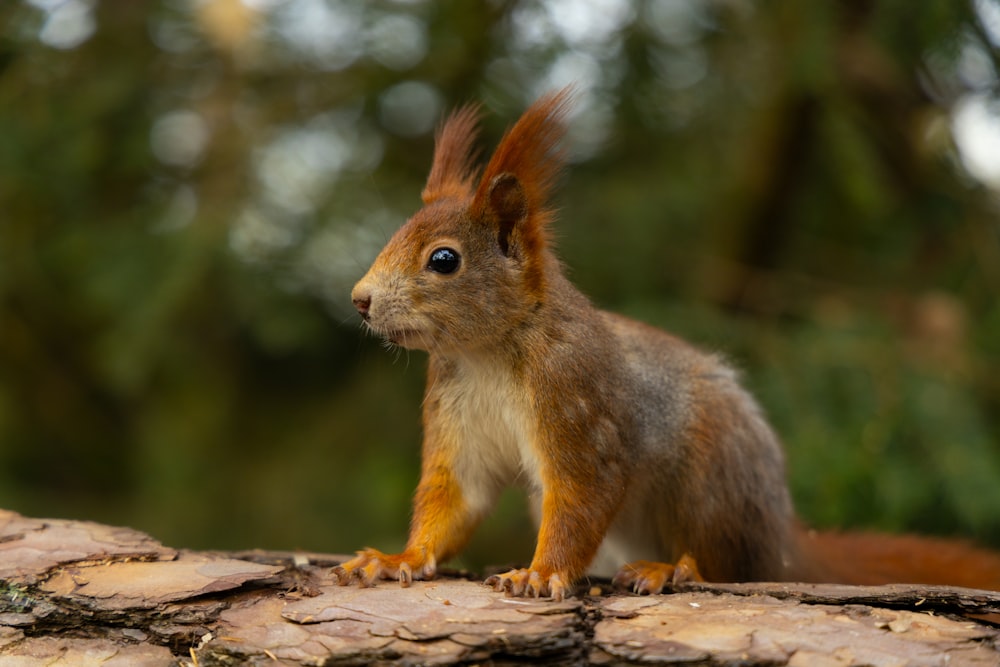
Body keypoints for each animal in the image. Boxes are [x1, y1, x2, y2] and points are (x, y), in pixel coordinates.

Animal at [340, 87, 1000, 600]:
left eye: (443, 260)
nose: (359, 300)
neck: (488, 353)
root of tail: (782, 540)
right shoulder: (456, 414)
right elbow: (457, 498)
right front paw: (397, 559)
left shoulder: (580, 406)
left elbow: (583, 497)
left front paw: (541, 573)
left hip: (711, 478)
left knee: (726, 563)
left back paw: (672, 568)